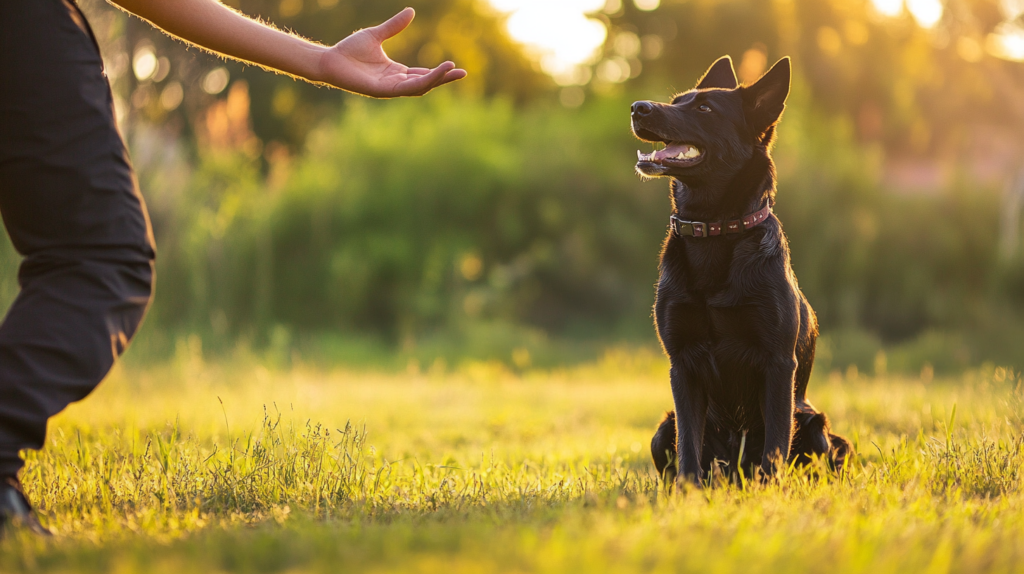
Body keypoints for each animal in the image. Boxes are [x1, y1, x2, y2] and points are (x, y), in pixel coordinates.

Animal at [626, 56, 851, 480]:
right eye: (677, 101)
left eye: (704, 109)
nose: (636, 108)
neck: (714, 230)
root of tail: (733, 467)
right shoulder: (682, 364)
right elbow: (689, 447)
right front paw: (689, 491)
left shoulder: (777, 363)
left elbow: (775, 446)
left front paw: (771, 490)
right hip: (662, 429)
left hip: (814, 424)